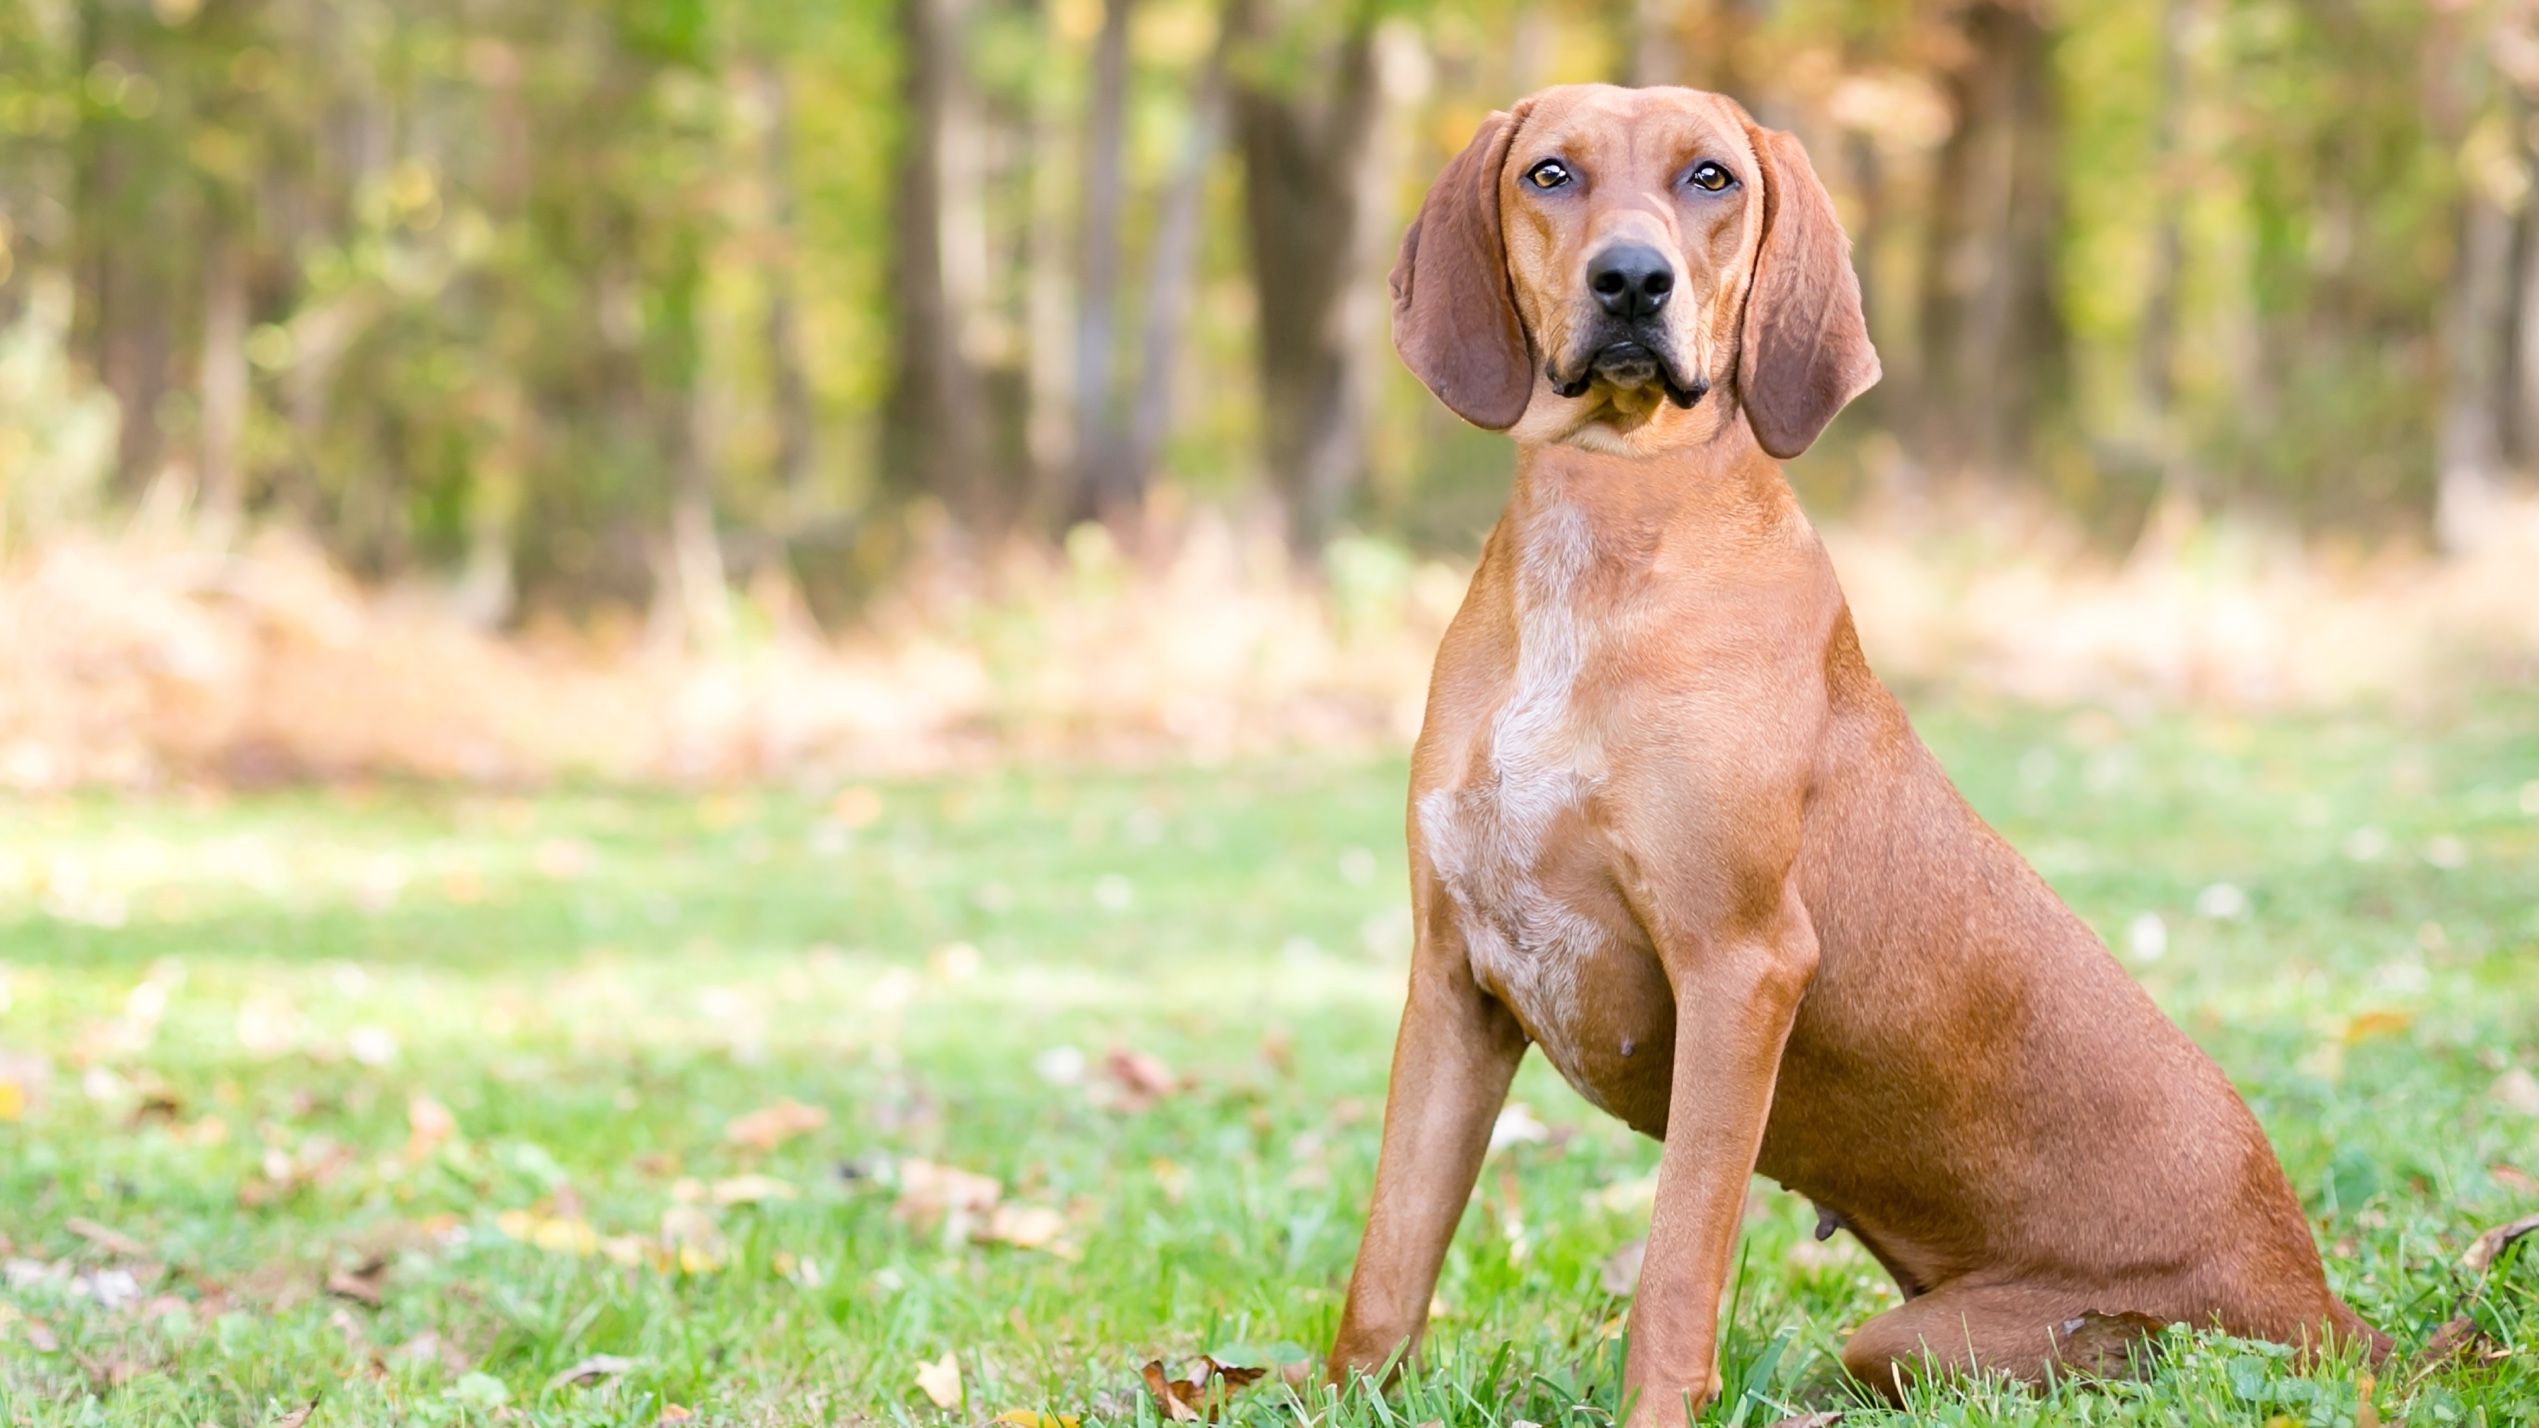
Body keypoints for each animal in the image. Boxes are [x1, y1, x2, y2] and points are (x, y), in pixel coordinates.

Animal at [1330, 86, 2376, 1422]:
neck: (1605, 526)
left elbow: (1675, 1272)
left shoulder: (1739, 968)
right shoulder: (1453, 981)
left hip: (1941, 1339)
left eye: (1711, 178)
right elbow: (1387, 1269)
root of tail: (2327, 1303)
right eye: (1550, 173)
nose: (1632, 281)